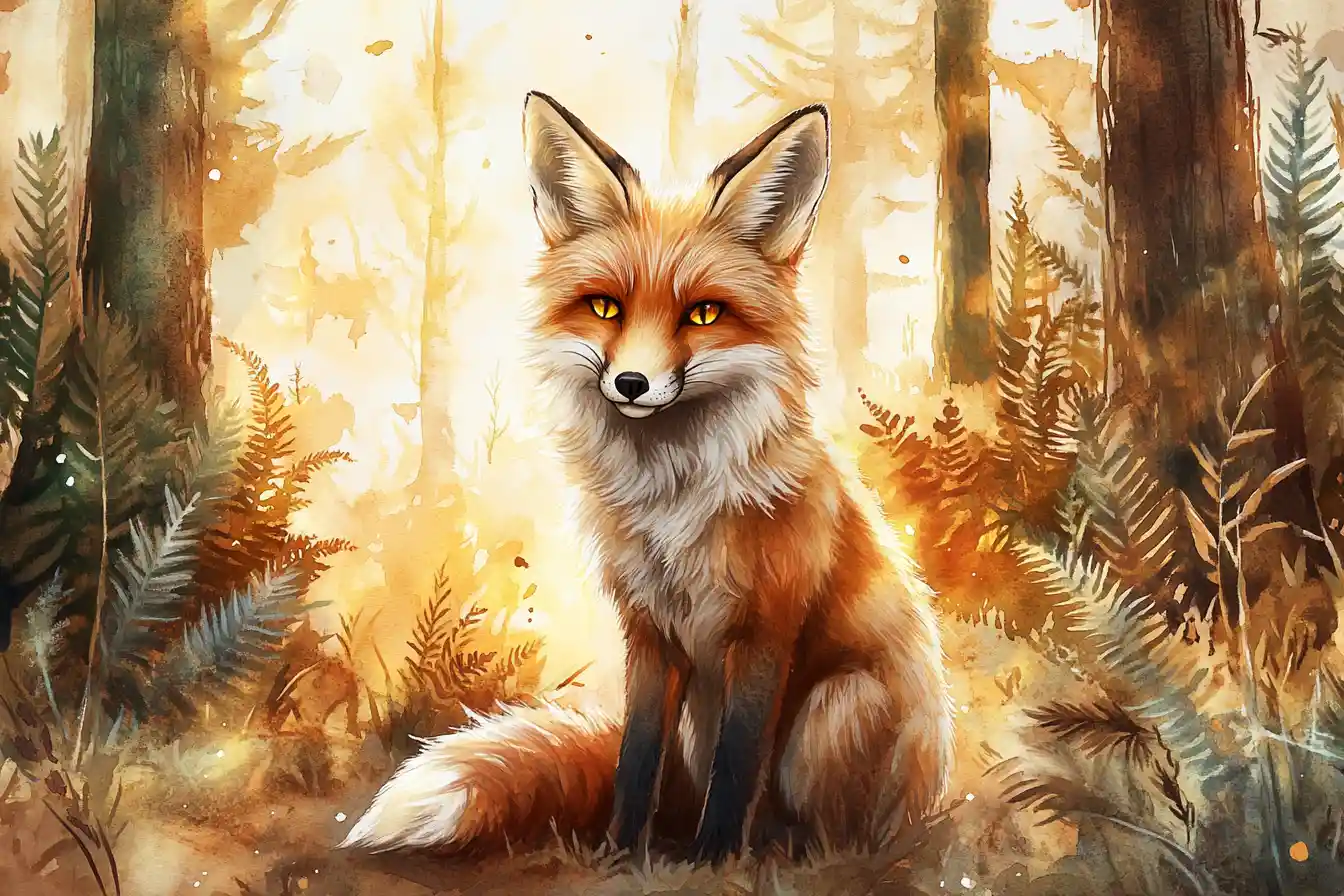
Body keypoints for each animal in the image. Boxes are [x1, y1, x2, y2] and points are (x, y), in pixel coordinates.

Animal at [339, 92, 954, 865]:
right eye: (607, 307)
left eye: (703, 313)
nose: (631, 383)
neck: (671, 502)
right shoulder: (649, 630)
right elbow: (634, 757)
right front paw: (619, 851)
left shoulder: (765, 628)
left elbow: (737, 765)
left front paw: (716, 859)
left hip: (838, 705)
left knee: (821, 823)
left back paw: (786, 850)